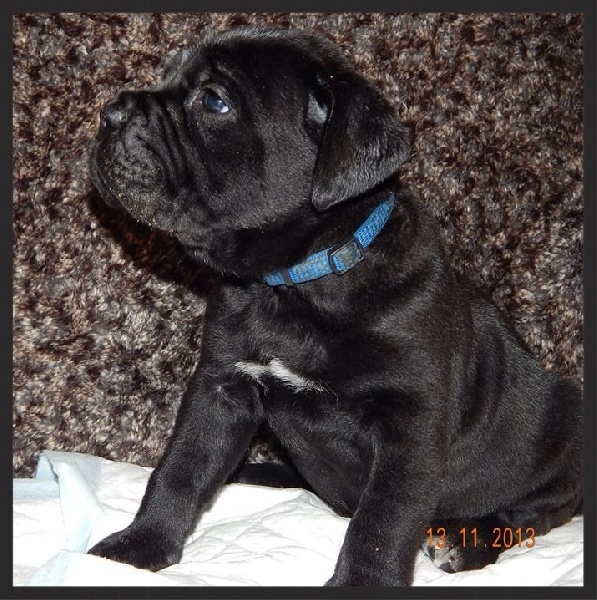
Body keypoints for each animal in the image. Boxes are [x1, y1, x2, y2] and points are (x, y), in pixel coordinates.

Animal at [87, 26, 583, 586]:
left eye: (214, 101)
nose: (109, 112)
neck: (296, 283)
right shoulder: (222, 384)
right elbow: (181, 468)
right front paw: (139, 544)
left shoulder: (411, 423)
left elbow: (384, 518)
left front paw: (364, 582)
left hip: (562, 437)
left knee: (532, 512)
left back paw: (467, 540)